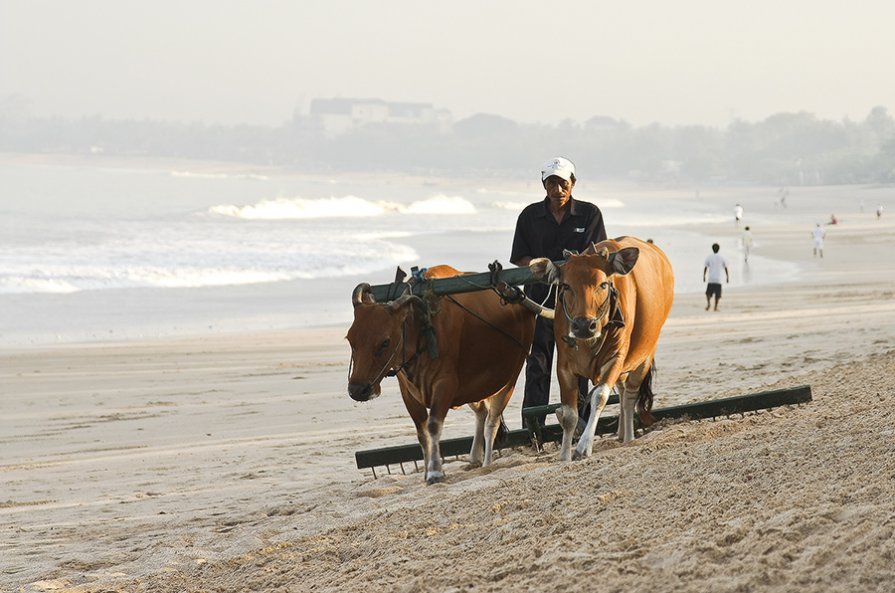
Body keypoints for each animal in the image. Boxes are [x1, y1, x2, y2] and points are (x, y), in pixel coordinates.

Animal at [346, 266, 536, 484]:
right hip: (473, 389)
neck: (422, 334)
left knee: (492, 422)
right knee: (481, 413)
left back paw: (487, 463)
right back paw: (474, 457)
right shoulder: (408, 394)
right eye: (350, 339)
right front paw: (427, 472)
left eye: (385, 342)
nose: (357, 389)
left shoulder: (445, 385)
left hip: (508, 380)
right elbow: (422, 433)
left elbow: (434, 425)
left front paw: (435, 472)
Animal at [532, 235, 672, 458]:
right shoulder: (564, 366)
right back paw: (621, 434)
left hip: (644, 357)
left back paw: (629, 437)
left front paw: (584, 446)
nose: (583, 325)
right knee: (622, 391)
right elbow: (569, 414)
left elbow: (599, 397)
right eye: (565, 285)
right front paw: (564, 456)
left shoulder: (615, 358)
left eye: (603, 285)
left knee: (629, 396)